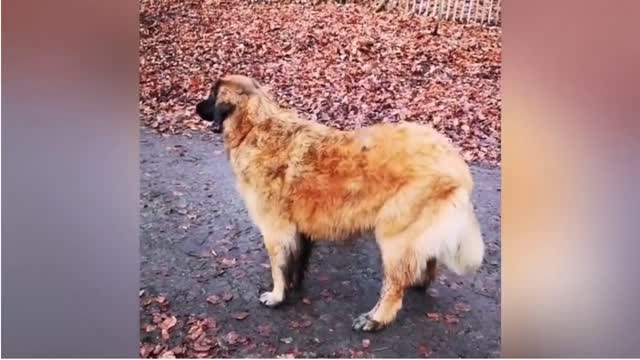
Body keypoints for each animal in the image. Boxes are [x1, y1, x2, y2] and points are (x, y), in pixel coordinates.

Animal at [196, 76, 484, 332]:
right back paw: (418, 283)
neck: (255, 128)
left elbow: (279, 267)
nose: (196, 107)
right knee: (425, 262)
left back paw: (375, 318)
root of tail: (456, 163)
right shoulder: (299, 228)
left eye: (211, 95)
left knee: (394, 287)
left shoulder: (276, 231)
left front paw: (277, 296)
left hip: (394, 234)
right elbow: (296, 261)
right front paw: (293, 287)